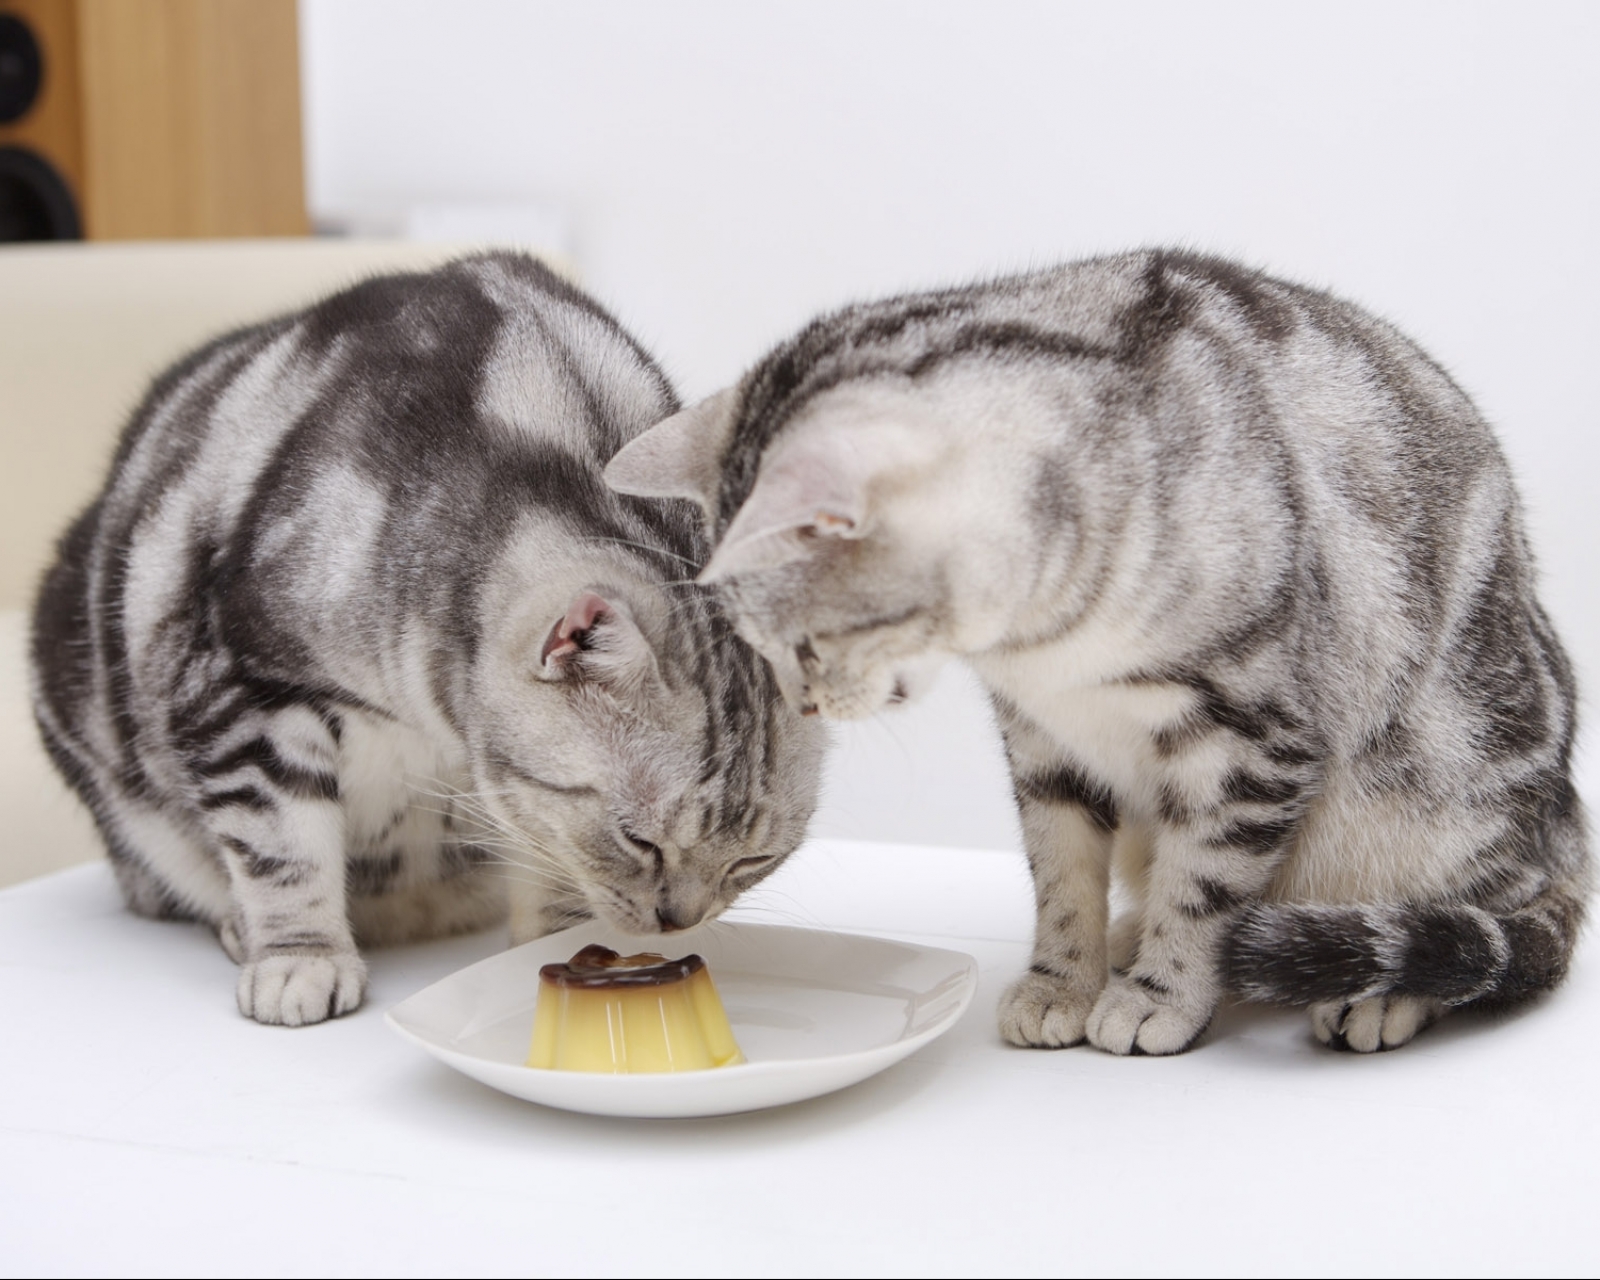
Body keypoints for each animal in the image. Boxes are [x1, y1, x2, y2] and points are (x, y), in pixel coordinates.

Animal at [31, 254, 825, 1024]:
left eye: (752, 862)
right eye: (640, 841)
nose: (679, 921)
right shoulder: (242, 683)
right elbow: (283, 849)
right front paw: (300, 959)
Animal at [608, 244, 1587, 1056]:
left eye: (808, 643)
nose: (809, 702)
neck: (1038, 643)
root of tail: (1565, 822)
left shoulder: (1250, 740)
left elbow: (1205, 888)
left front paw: (1161, 993)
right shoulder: (1042, 740)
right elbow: (1061, 874)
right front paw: (1062, 983)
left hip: (1437, 792)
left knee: (1496, 920)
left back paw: (1379, 993)